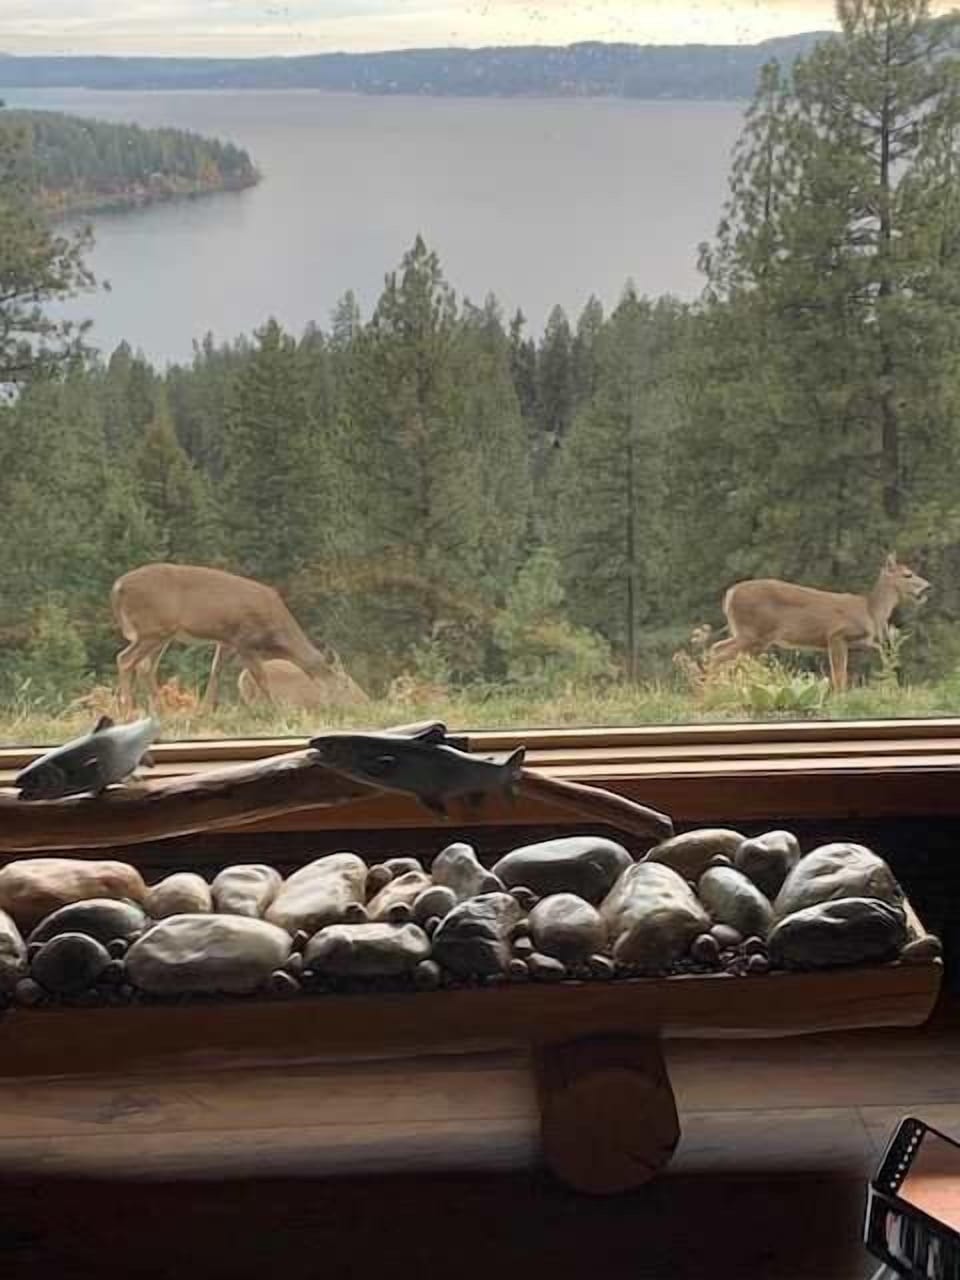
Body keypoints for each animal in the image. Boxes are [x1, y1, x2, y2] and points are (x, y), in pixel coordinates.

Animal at [112, 563, 338, 714]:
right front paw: (273, 710)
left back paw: (158, 711)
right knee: (125, 659)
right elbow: (261, 677)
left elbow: (215, 671)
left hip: (160, 634)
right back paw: (127, 710)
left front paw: (205, 711)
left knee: (145, 667)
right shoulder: (244, 640)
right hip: (153, 628)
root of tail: (119, 586)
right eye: (337, 679)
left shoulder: (226, 640)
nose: (335, 706)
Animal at [708, 553, 930, 693]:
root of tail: (730, 594)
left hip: (746, 634)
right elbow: (839, 675)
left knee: (716, 648)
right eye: (908, 574)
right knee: (718, 654)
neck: (871, 611)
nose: (927, 586)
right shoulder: (837, 635)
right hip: (754, 634)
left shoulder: (862, 642)